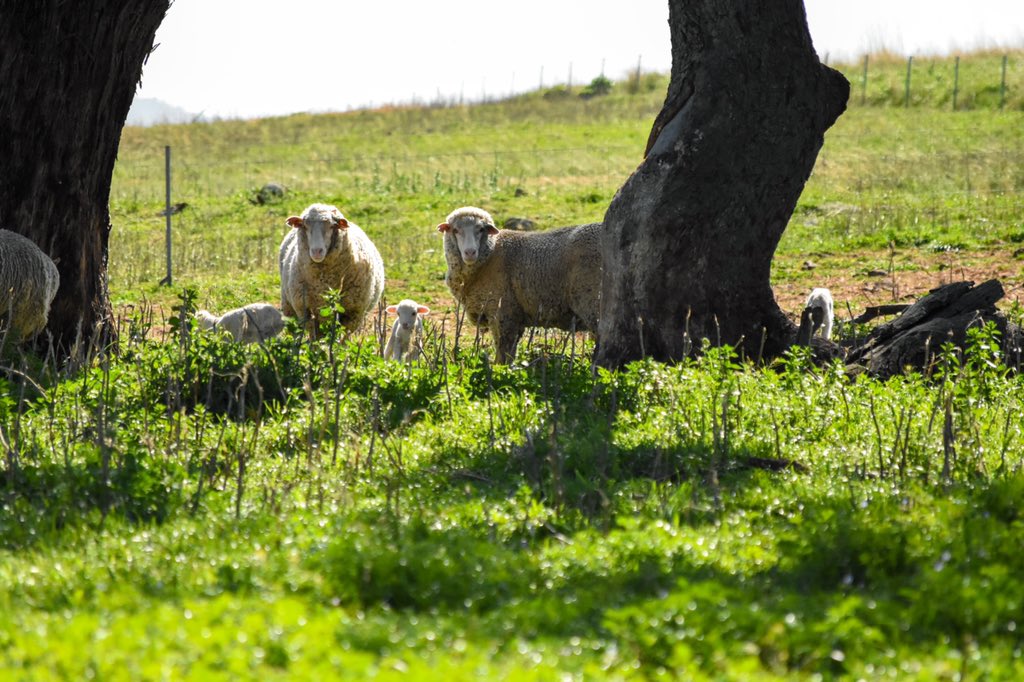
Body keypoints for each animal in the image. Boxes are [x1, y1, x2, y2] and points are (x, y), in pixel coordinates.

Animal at [279, 203, 385, 334]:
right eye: (305, 225)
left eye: (331, 226)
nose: (317, 251)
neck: (324, 281)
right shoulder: (305, 310)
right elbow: (314, 335)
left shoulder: (354, 312)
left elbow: (344, 336)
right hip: (288, 305)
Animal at [437, 206, 602, 363]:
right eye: (455, 230)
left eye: (481, 229)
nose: (470, 252)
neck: (491, 254)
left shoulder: (503, 314)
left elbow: (503, 355)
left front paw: (501, 371)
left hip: (593, 303)